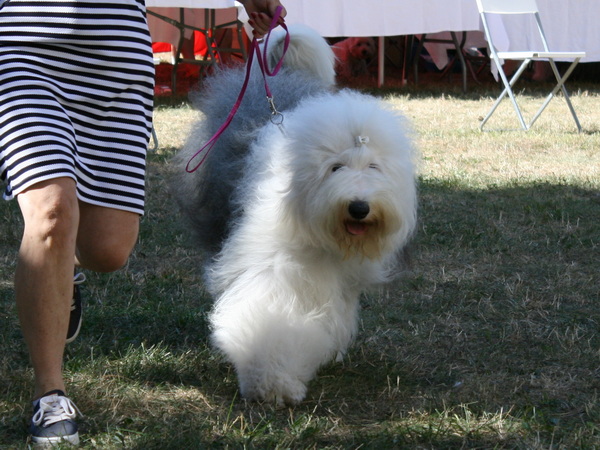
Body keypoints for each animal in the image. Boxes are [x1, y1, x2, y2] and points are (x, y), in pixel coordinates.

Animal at [173, 25, 418, 406]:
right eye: (335, 167)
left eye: (374, 167)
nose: (359, 207)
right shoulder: (274, 263)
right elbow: (270, 315)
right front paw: (271, 384)